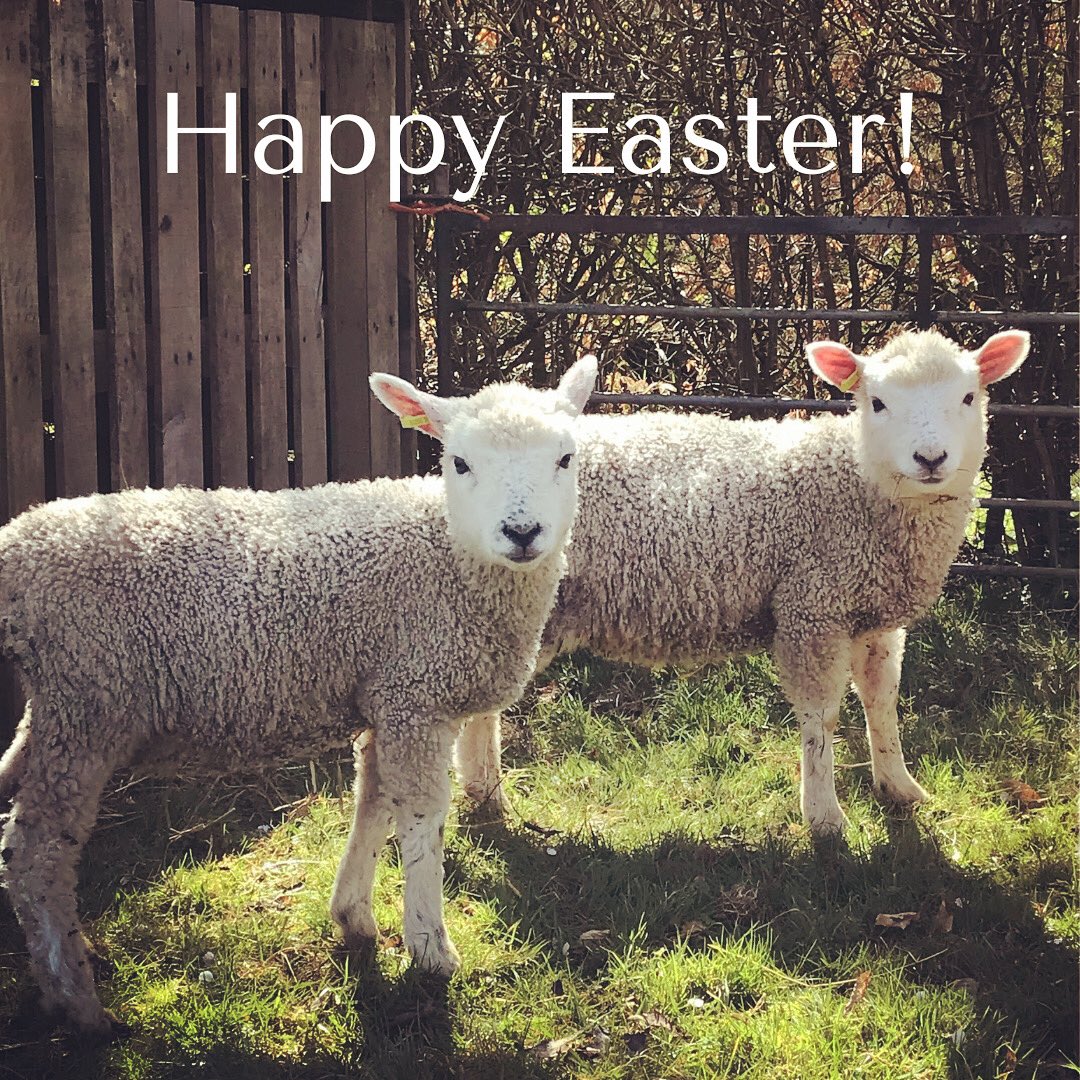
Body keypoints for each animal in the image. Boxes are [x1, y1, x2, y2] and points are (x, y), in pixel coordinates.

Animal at [0, 356, 600, 1036]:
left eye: (566, 458)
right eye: (460, 462)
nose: (522, 532)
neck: (448, 554)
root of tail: (18, 546)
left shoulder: (385, 694)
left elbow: (374, 800)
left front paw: (355, 918)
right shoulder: (417, 695)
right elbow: (421, 815)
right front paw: (430, 948)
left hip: (54, 711)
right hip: (86, 702)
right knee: (37, 852)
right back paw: (76, 999)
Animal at [455, 328, 1028, 833]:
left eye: (969, 396)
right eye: (879, 402)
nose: (930, 459)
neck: (856, 482)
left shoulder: (873, 614)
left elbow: (881, 698)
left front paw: (900, 786)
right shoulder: (811, 607)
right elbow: (821, 715)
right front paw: (825, 818)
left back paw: (484, 796)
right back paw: (485, 796)